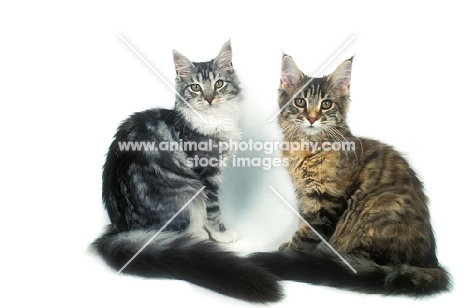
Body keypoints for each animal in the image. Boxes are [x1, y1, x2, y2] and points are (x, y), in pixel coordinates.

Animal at [91, 41, 282, 304]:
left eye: (219, 84)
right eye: (195, 87)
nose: (210, 98)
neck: (213, 119)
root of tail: (119, 229)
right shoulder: (208, 176)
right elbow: (213, 210)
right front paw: (221, 234)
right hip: (187, 191)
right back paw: (197, 237)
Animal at [250, 56, 452, 294]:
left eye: (326, 104)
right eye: (300, 102)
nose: (312, 118)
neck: (308, 147)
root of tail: (429, 263)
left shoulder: (325, 202)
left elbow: (306, 235)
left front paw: (291, 254)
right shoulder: (305, 197)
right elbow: (302, 226)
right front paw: (288, 248)